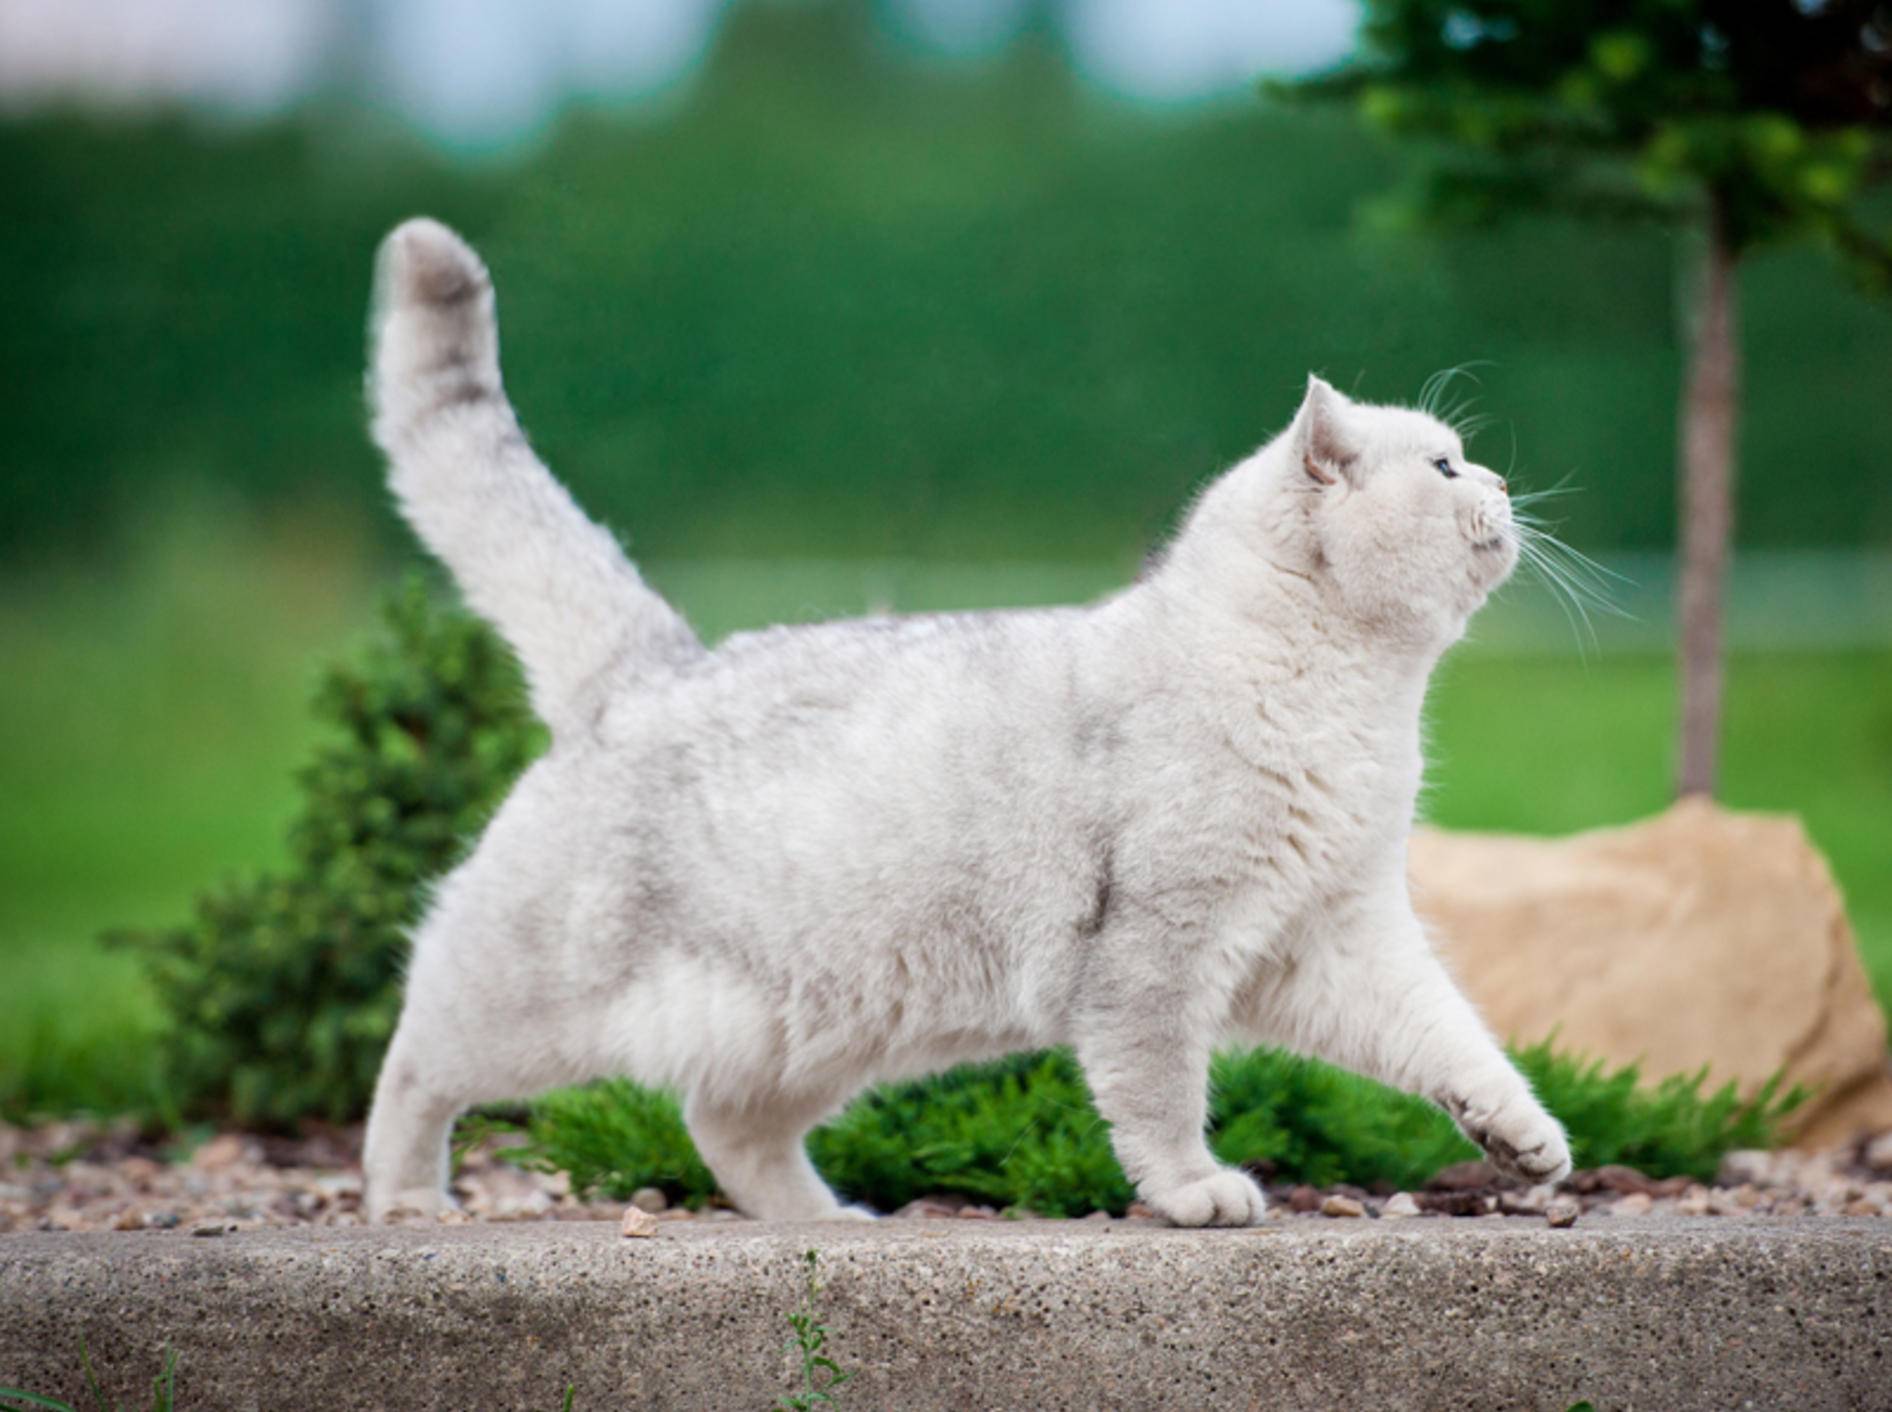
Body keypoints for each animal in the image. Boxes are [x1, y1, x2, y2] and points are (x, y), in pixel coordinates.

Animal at [361, 217, 1574, 1218]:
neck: (1354, 701)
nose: (1504, 486)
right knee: (413, 1060)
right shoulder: (1159, 952)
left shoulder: (1341, 935)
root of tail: (653, 662)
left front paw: (1522, 1140)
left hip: (804, 1029)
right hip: (527, 1005)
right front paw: (1197, 1191)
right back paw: (408, 1201)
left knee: (723, 1124)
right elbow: (1158, 1095)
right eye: (1444, 464)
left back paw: (823, 1222)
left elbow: (1453, 1038)